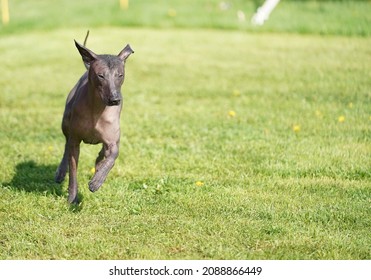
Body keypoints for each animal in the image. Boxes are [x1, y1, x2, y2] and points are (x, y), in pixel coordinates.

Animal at [56, 35, 134, 203]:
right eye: (101, 75)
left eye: (120, 75)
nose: (115, 99)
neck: (97, 110)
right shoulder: (75, 141)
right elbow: (73, 171)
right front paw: (72, 197)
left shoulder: (113, 141)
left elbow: (113, 156)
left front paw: (97, 180)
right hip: (65, 123)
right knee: (66, 146)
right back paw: (60, 172)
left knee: (102, 154)